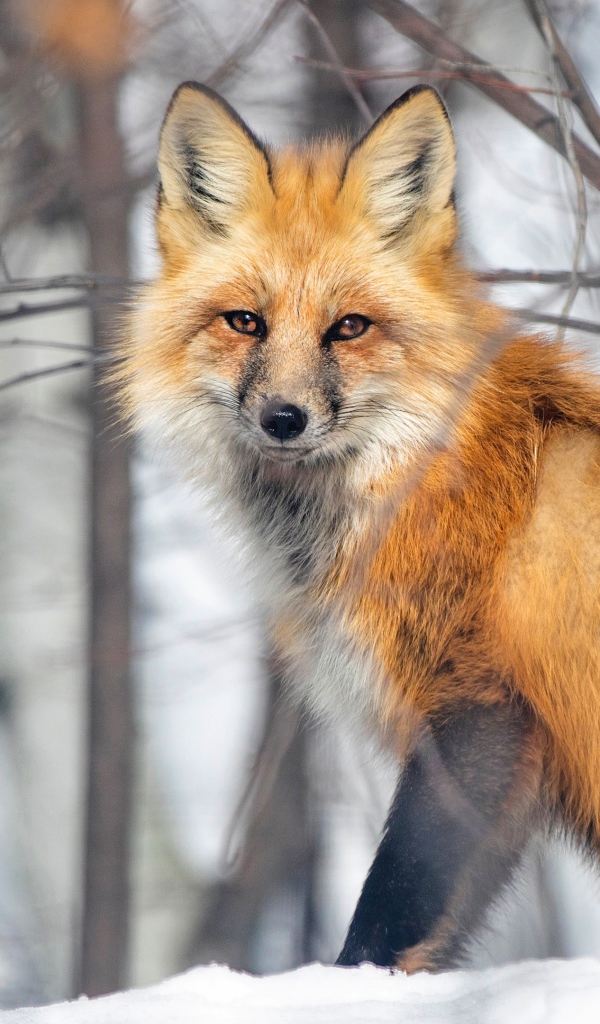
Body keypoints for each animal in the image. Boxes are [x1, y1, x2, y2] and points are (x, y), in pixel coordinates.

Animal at [117, 83, 600, 970]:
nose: (283, 418)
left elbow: (391, 909)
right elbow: (431, 931)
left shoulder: (479, 708)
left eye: (349, 327)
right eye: (245, 322)